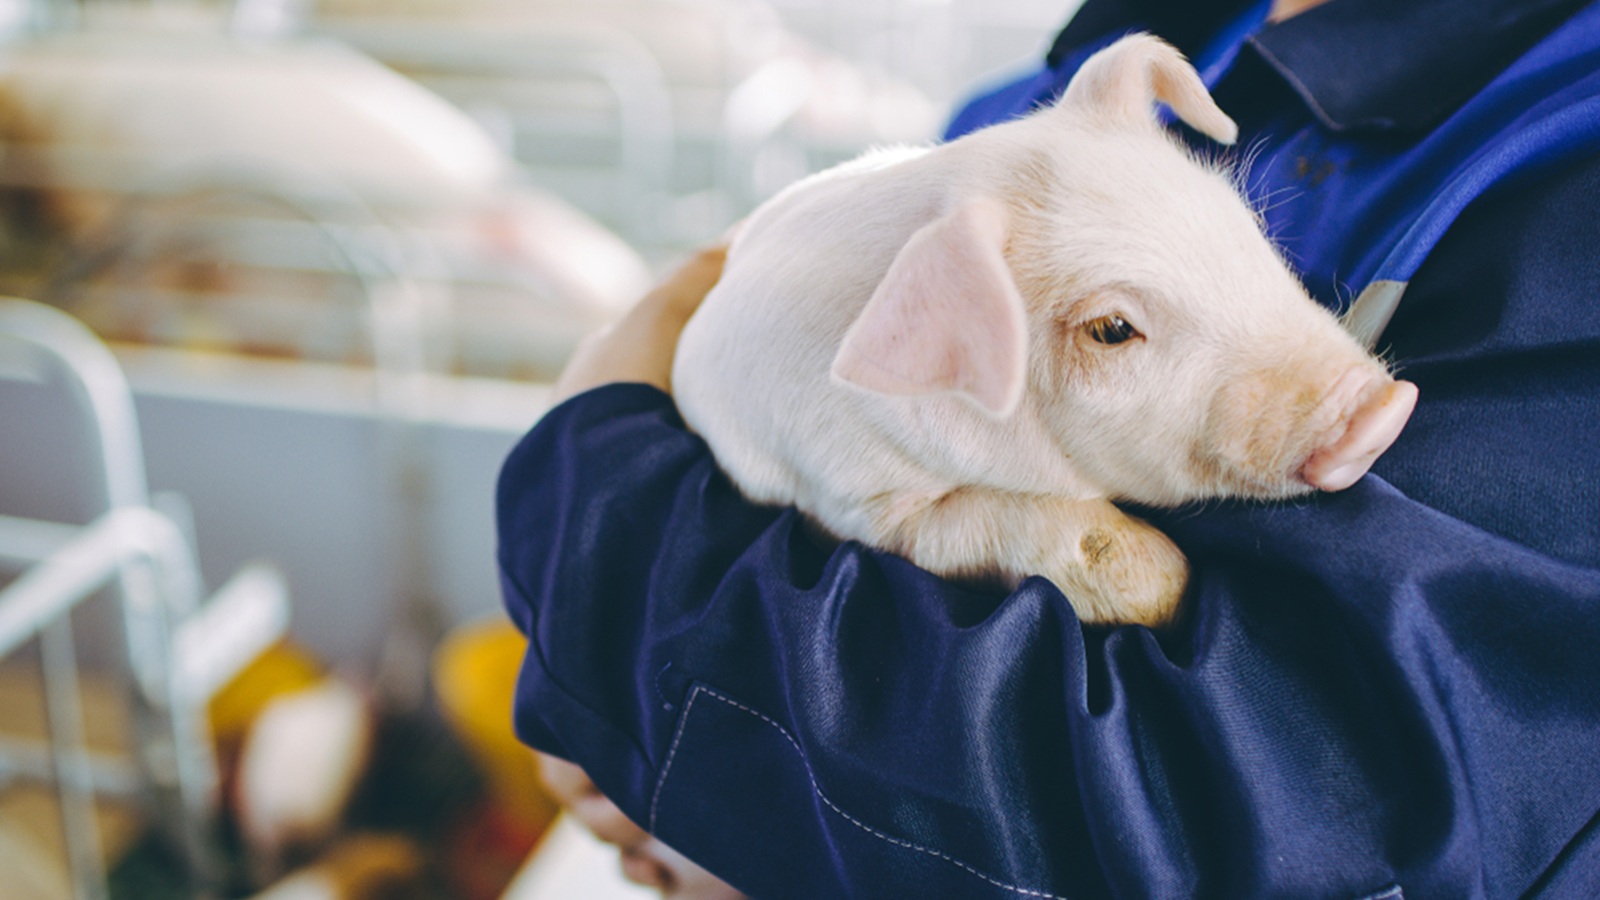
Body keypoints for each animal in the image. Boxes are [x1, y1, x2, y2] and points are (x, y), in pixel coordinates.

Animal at [671, 34, 1418, 627]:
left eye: (1241, 225)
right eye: (1112, 328)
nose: (1384, 406)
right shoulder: (850, 497)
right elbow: (978, 531)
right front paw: (1174, 584)